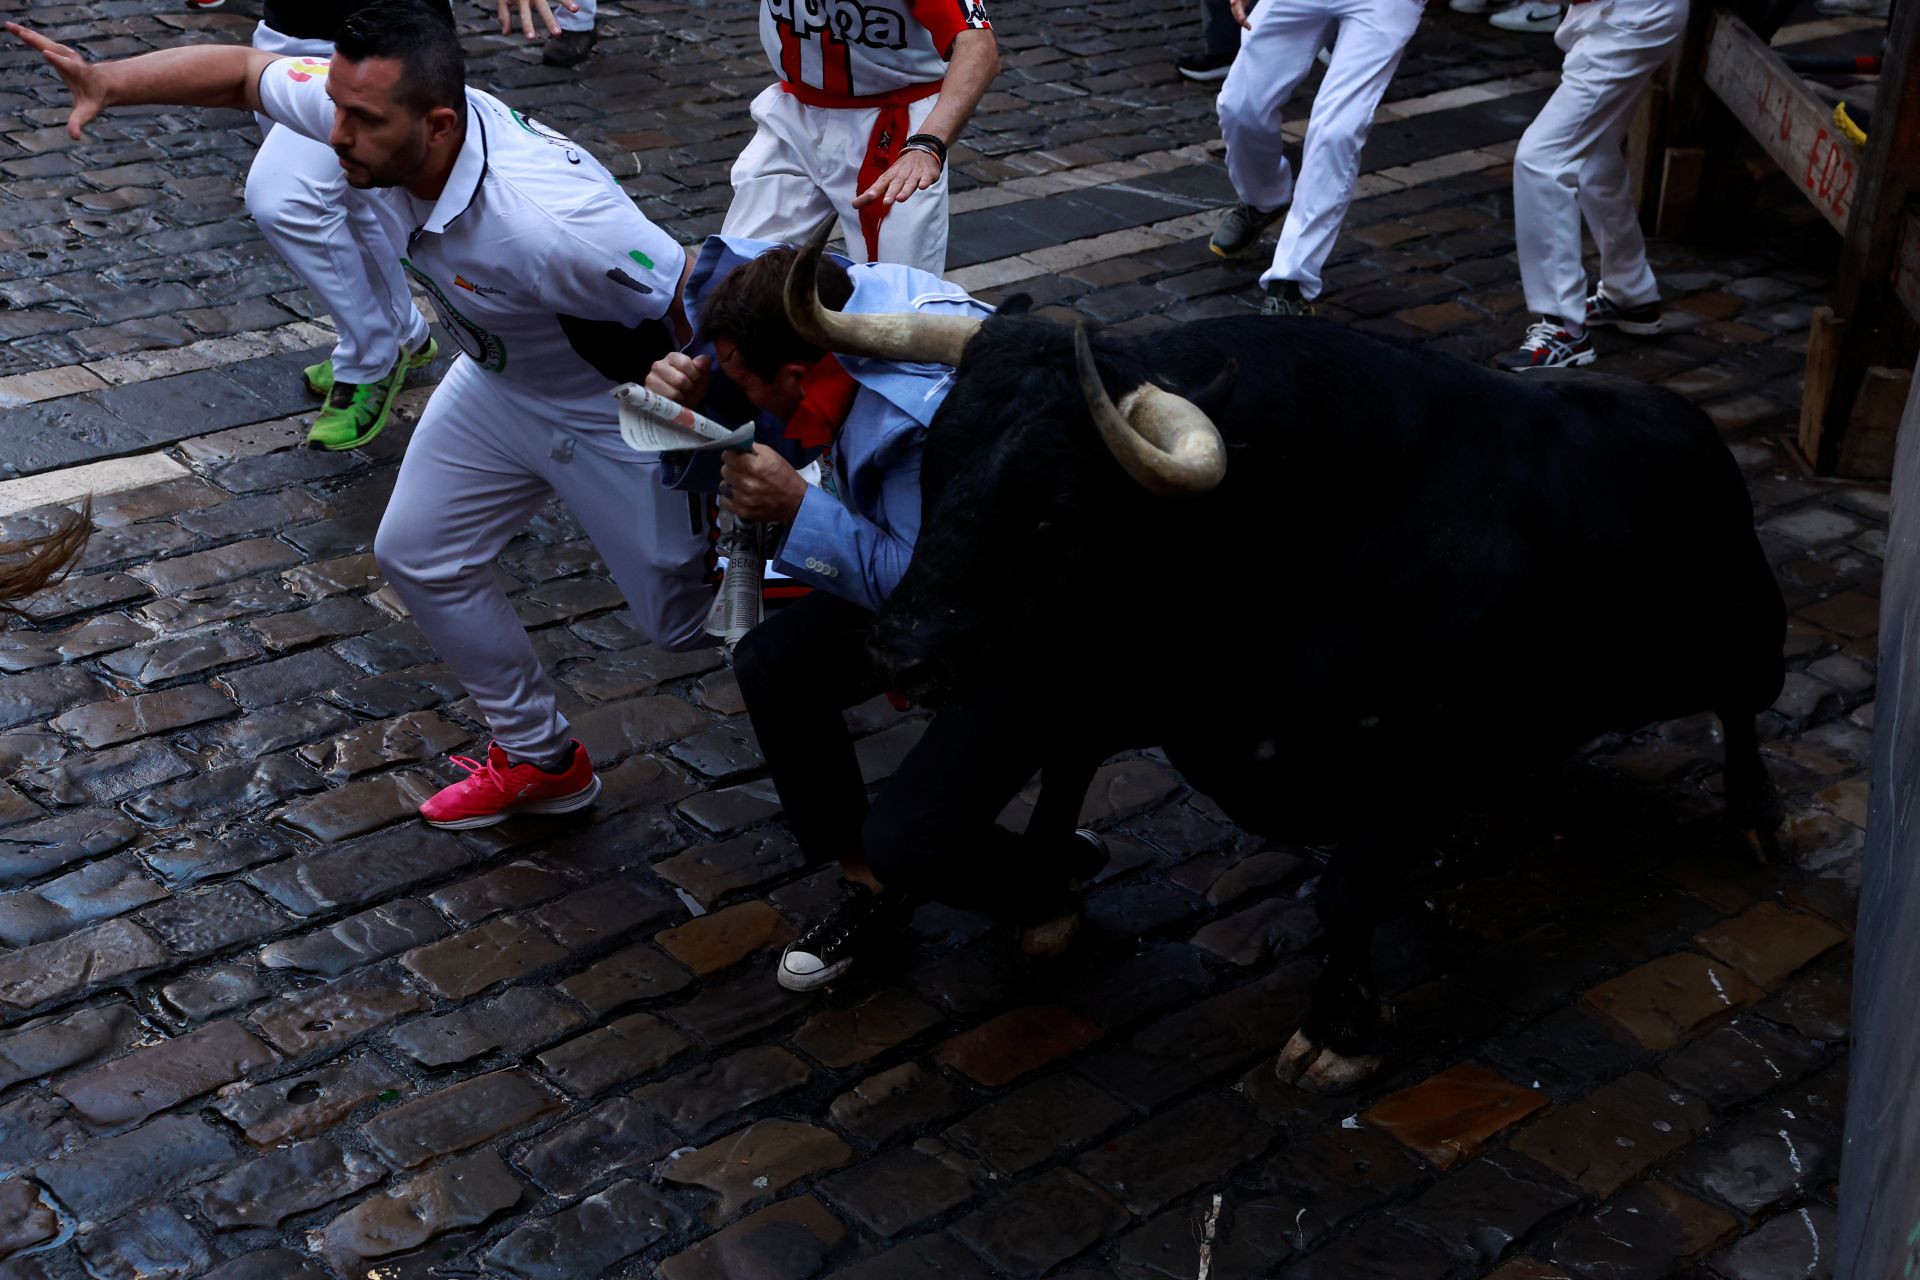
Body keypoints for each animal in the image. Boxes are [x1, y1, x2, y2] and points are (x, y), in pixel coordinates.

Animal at [864, 310, 1789, 1090]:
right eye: (934, 463)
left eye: (1054, 511)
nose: (903, 652)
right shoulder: (1114, 686)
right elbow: (1014, 791)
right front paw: (1049, 894)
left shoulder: (1438, 751)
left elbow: (1347, 892)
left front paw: (1339, 1034)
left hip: (1749, 641)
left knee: (1743, 715)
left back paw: (1752, 819)